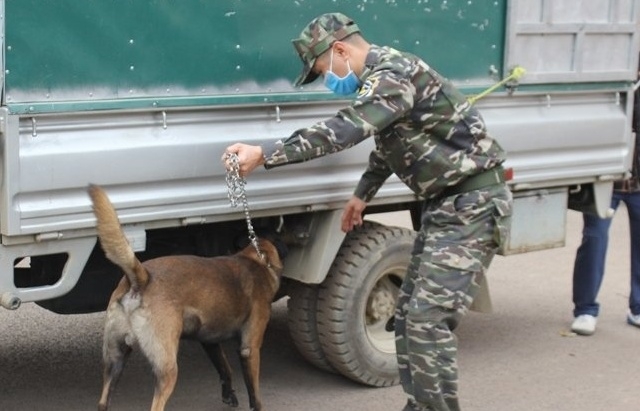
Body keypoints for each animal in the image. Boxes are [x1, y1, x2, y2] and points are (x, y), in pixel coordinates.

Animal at [89, 185, 284, 410]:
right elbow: (254, 392)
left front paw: (228, 394)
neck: (255, 258)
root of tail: (142, 278)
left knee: (103, 401)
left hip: (115, 360)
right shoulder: (249, 349)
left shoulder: (210, 342)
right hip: (167, 368)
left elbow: (225, 368)